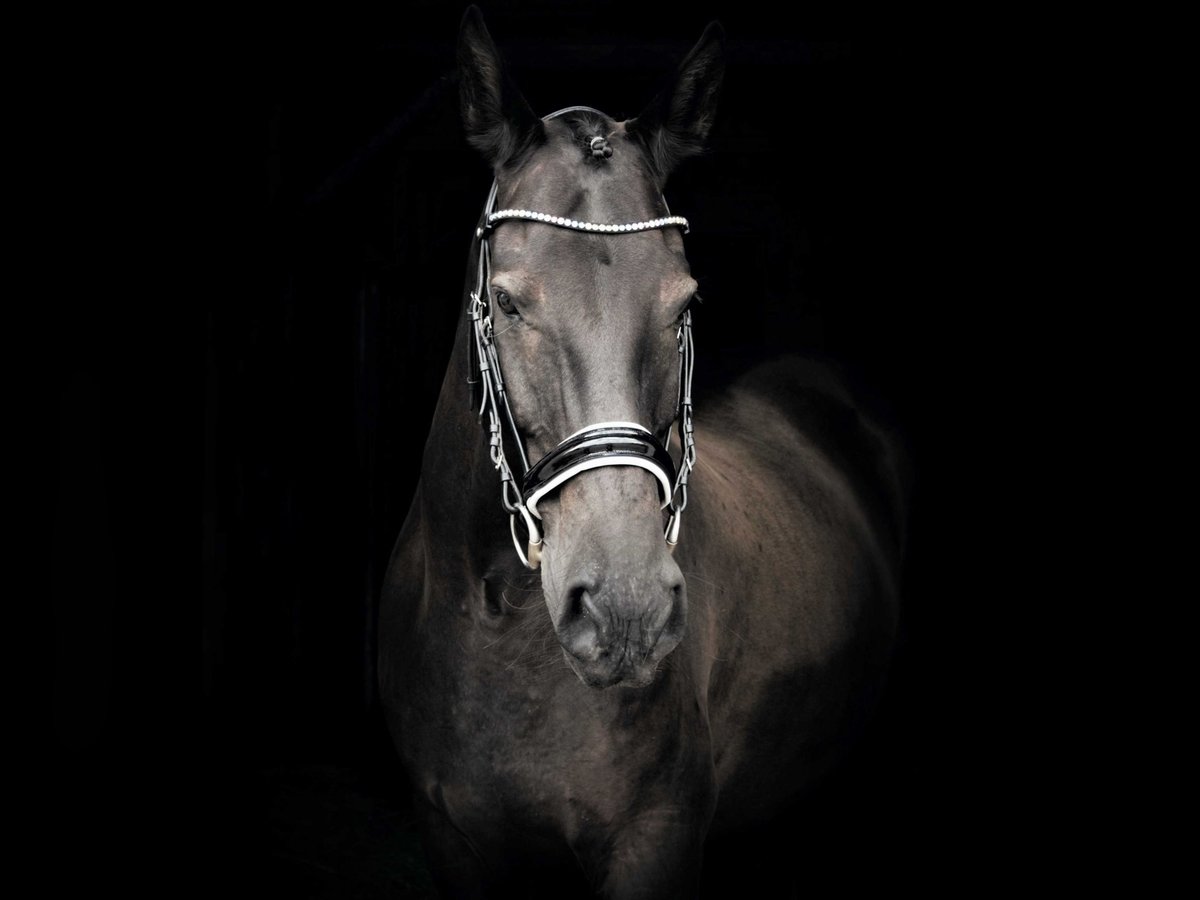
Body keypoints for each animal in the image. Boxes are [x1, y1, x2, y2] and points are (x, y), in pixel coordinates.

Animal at [379, 10, 902, 897]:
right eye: (508, 303)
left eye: (684, 301)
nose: (626, 611)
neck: (499, 634)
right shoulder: (448, 839)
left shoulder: (653, 841)